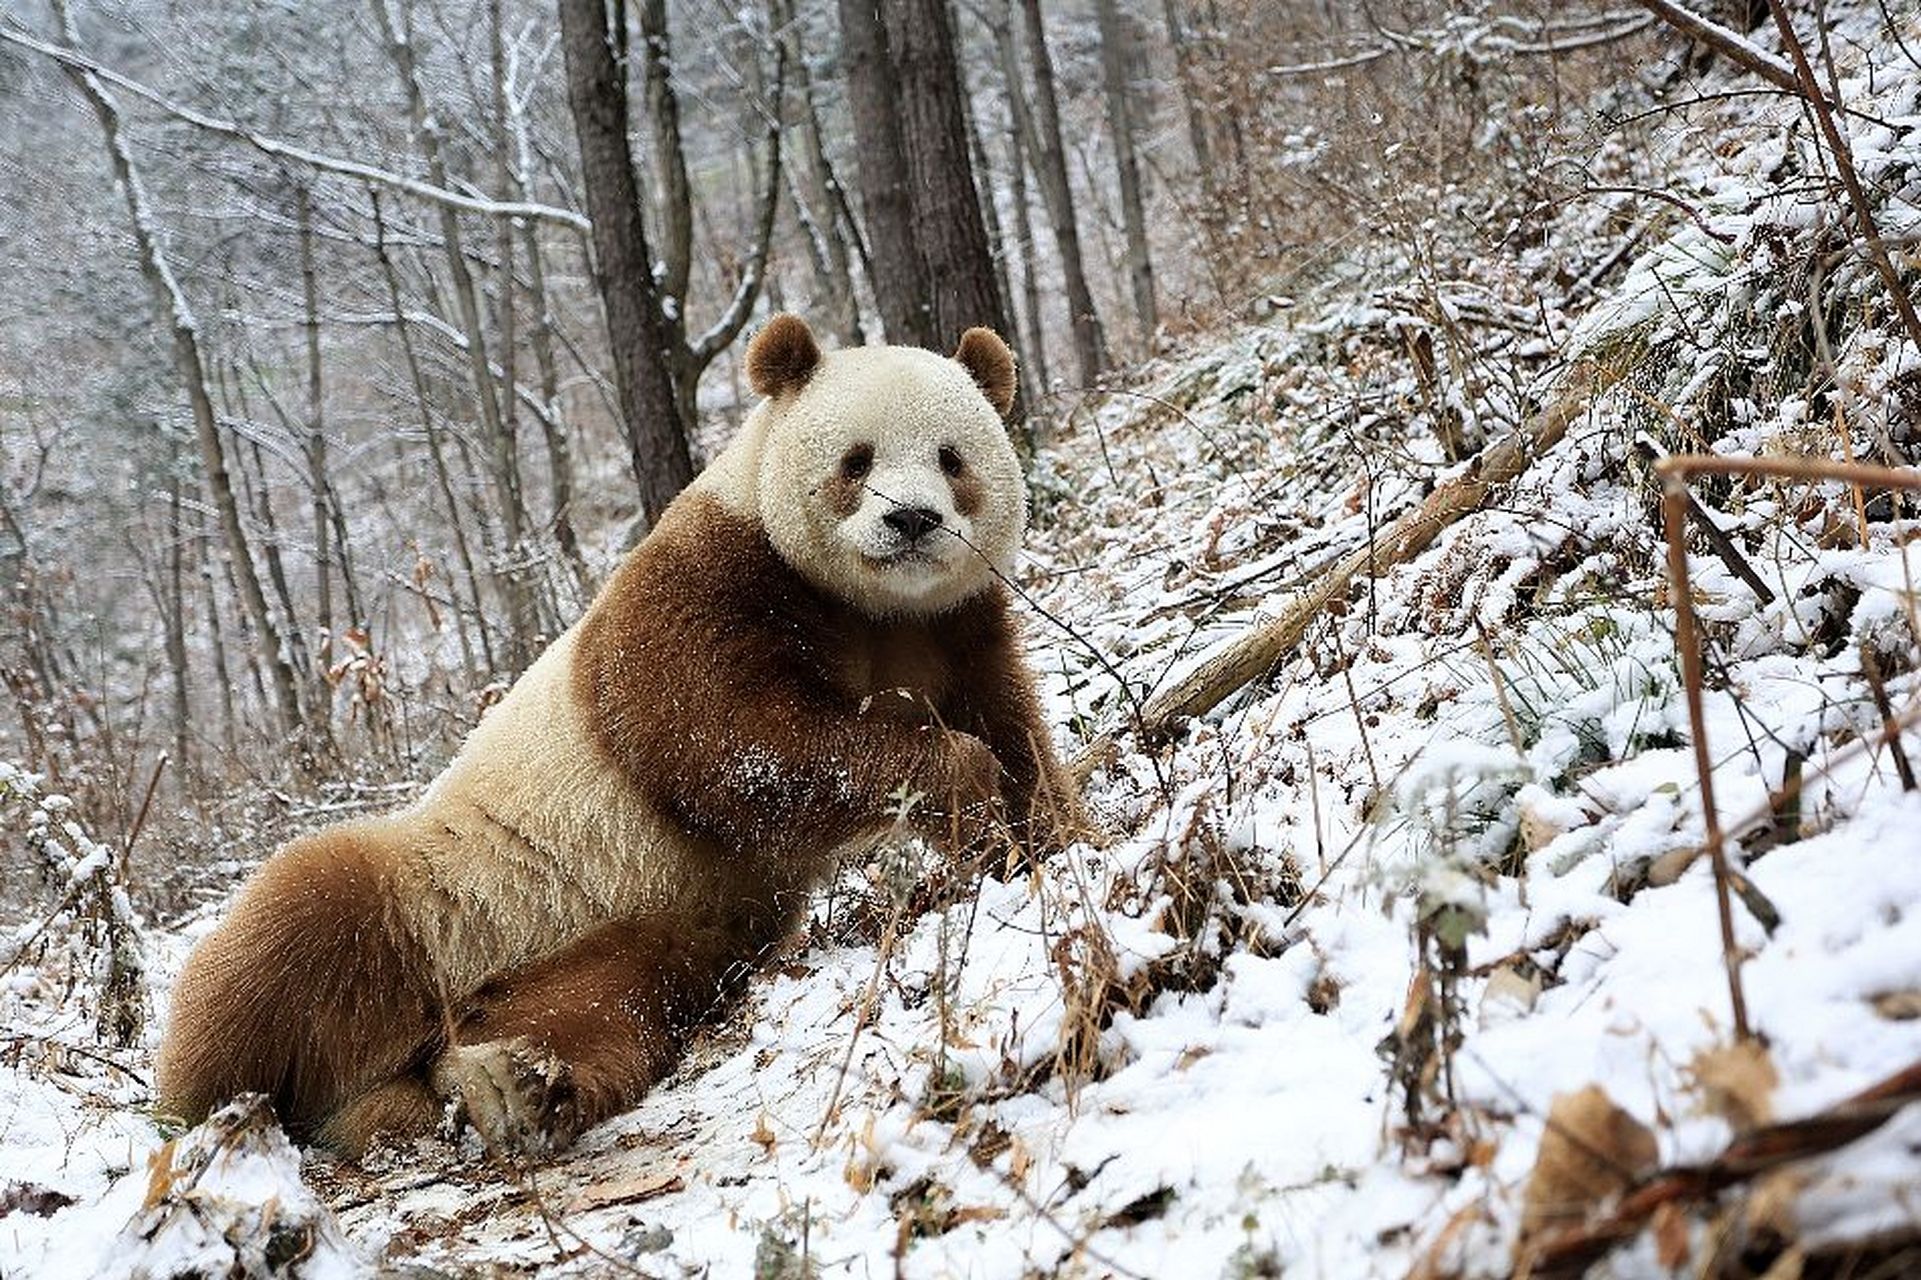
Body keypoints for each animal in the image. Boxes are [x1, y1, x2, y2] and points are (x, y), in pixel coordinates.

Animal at [153, 313, 1083, 1153]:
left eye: (952, 460)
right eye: (856, 461)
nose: (913, 521)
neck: (868, 602)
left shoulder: (949, 622)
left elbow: (1009, 728)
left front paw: (1040, 838)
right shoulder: (706, 584)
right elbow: (731, 749)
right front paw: (956, 782)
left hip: (632, 934)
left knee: (598, 1014)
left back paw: (506, 1087)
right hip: (450, 891)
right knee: (296, 931)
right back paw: (199, 1112)